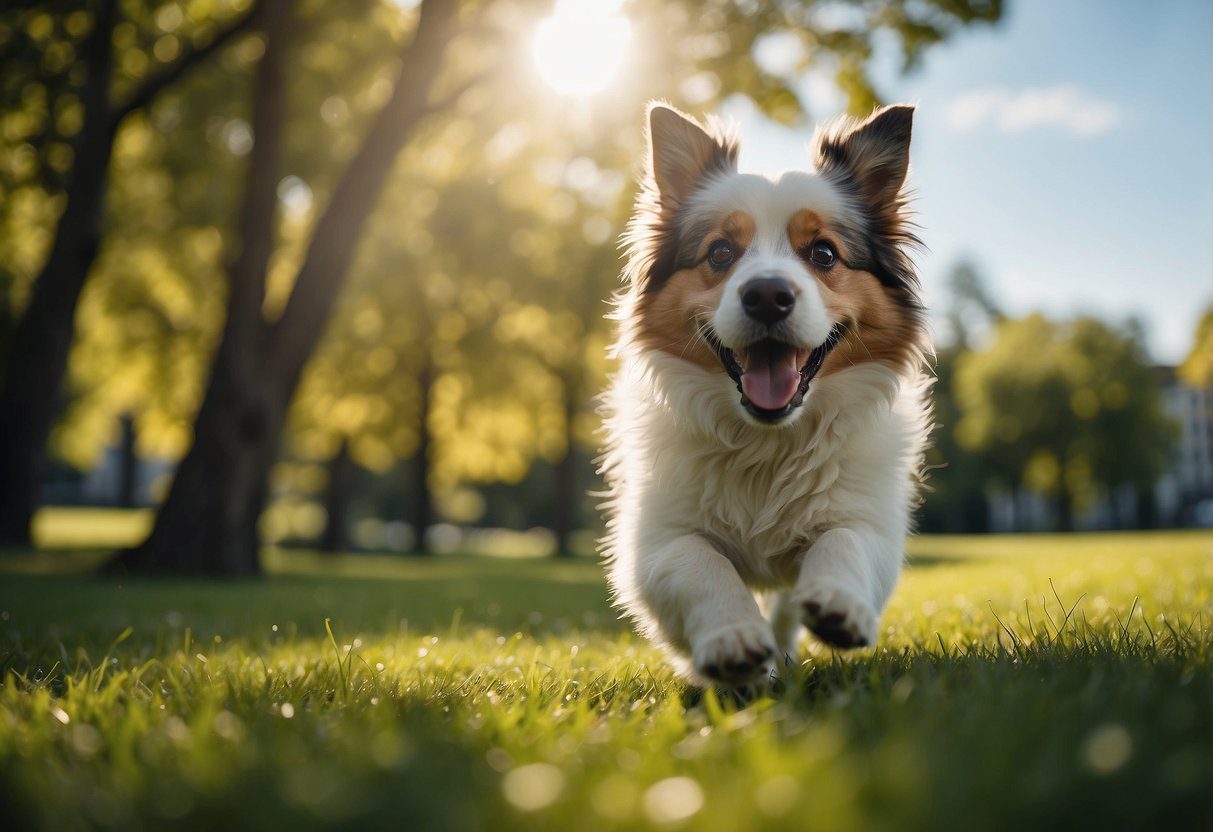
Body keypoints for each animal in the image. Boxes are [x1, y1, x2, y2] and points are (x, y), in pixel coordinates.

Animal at [601, 101, 931, 688]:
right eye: (720, 252)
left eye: (823, 253)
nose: (768, 295)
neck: (767, 441)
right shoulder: (653, 541)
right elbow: (699, 562)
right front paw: (731, 639)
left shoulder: (871, 520)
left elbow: (844, 539)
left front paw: (837, 603)